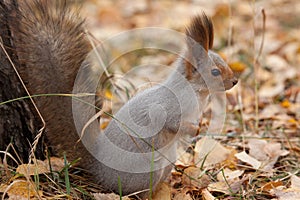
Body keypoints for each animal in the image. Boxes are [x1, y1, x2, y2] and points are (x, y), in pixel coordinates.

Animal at [2, 0, 237, 198]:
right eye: (215, 72)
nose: (235, 81)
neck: (196, 92)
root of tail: (100, 168)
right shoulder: (167, 106)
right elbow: (171, 123)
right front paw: (196, 129)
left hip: (166, 162)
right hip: (147, 169)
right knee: (137, 193)